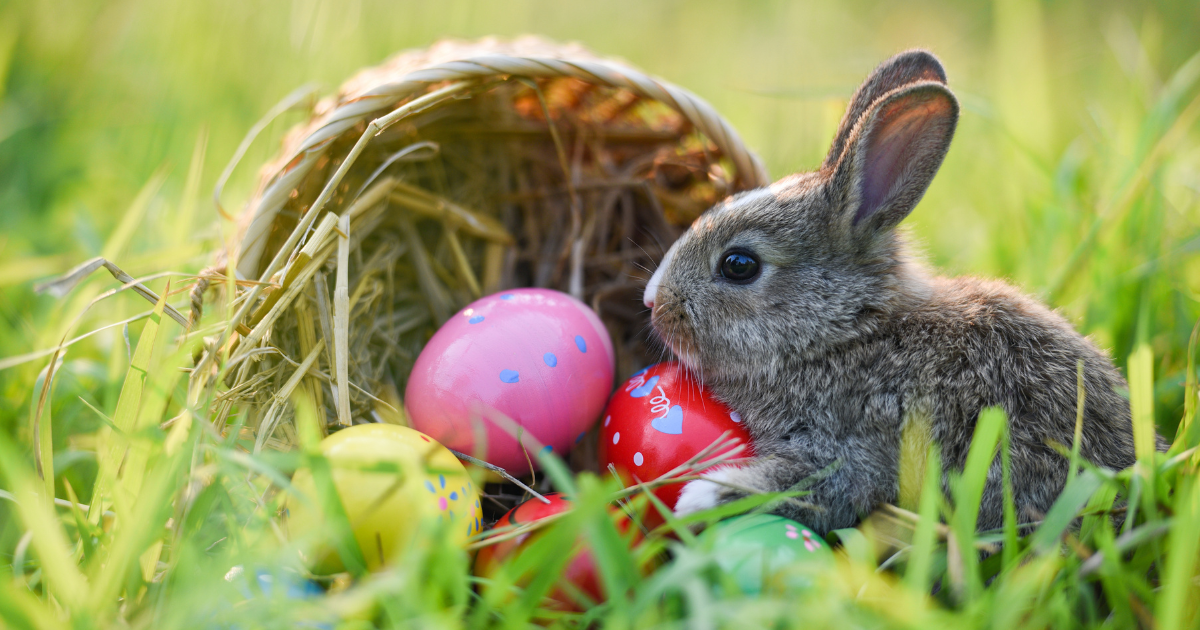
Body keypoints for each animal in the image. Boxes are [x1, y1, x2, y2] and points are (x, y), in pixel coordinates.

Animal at [643, 49, 1166, 532]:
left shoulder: (851, 446)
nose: (653, 303)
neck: (846, 334)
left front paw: (696, 499)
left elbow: (816, 485)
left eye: (739, 265)